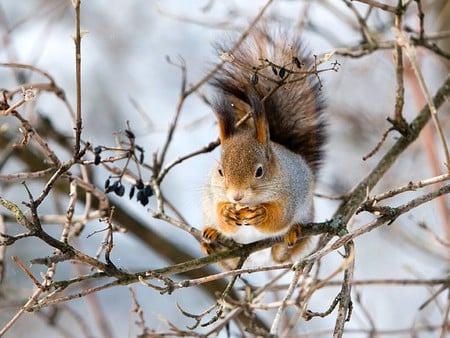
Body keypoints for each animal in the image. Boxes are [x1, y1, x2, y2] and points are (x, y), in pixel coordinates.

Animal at [202, 27, 326, 266]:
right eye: (220, 171)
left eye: (260, 171)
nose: (236, 197)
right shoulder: (213, 193)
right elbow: (222, 216)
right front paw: (226, 213)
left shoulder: (290, 193)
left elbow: (279, 218)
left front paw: (262, 215)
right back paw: (211, 241)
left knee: (282, 254)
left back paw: (292, 238)